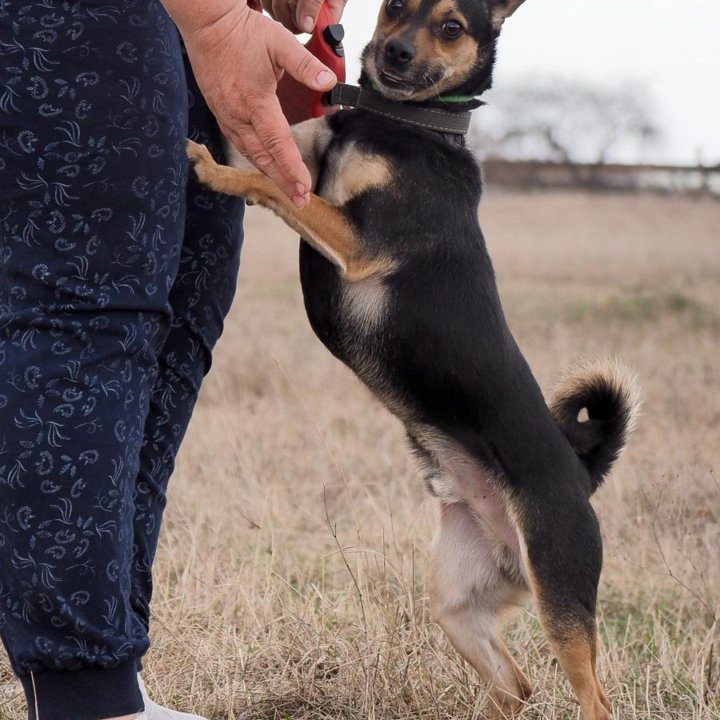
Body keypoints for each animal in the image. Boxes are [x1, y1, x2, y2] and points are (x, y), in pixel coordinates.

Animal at [187, 1, 640, 720]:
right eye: (395, 5)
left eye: (453, 27)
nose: (394, 53)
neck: (403, 124)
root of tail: (582, 472)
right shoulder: (301, 160)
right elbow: (269, 153)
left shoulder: (357, 237)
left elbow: (266, 182)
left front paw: (215, 171)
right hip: (458, 601)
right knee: (515, 687)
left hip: (560, 596)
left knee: (592, 698)